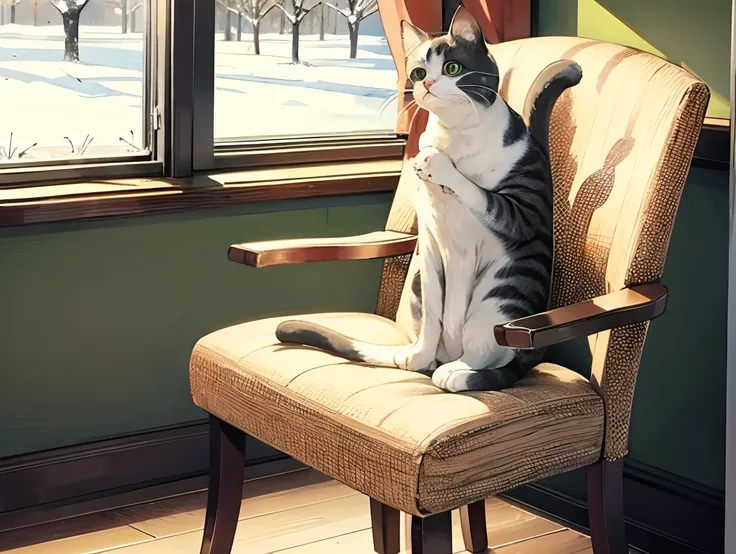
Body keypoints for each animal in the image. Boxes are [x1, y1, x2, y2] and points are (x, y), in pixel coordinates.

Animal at [274, 6, 584, 390]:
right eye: (419, 72)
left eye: (452, 68)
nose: (428, 83)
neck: (456, 135)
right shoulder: (431, 246)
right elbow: (434, 318)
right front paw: (417, 355)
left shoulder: (520, 212)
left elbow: (479, 193)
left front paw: (435, 163)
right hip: (420, 279)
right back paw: (422, 360)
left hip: (499, 295)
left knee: (487, 350)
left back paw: (456, 372)